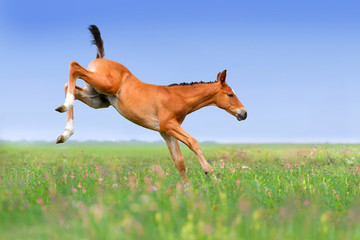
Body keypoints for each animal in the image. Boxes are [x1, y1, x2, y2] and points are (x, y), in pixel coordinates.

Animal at [55, 25, 248, 183]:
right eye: (230, 94)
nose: (244, 113)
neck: (176, 97)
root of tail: (101, 58)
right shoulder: (168, 124)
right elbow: (193, 143)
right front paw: (212, 175)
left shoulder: (166, 132)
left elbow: (179, 162)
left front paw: (187, 193)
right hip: (105, 85)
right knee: (74, 66)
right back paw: (66, 107)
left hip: (97, 99)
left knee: (72, 86)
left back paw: (64, 131)